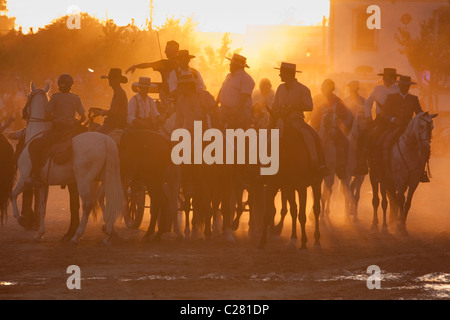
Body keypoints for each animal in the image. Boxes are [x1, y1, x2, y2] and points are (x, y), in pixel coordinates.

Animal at [10, 83, 123, 245]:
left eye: (27, 96)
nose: (24, 113)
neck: (36, 135)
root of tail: (106, 140)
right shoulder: (43, 184)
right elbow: (42, 208)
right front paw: (39, 233)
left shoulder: (26, 179)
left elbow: (13, 195)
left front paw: (20, 218)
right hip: (107, 179)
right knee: (109, 202)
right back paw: (108, 235)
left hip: (83, 181)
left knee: (87, 205)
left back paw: (76, 236)